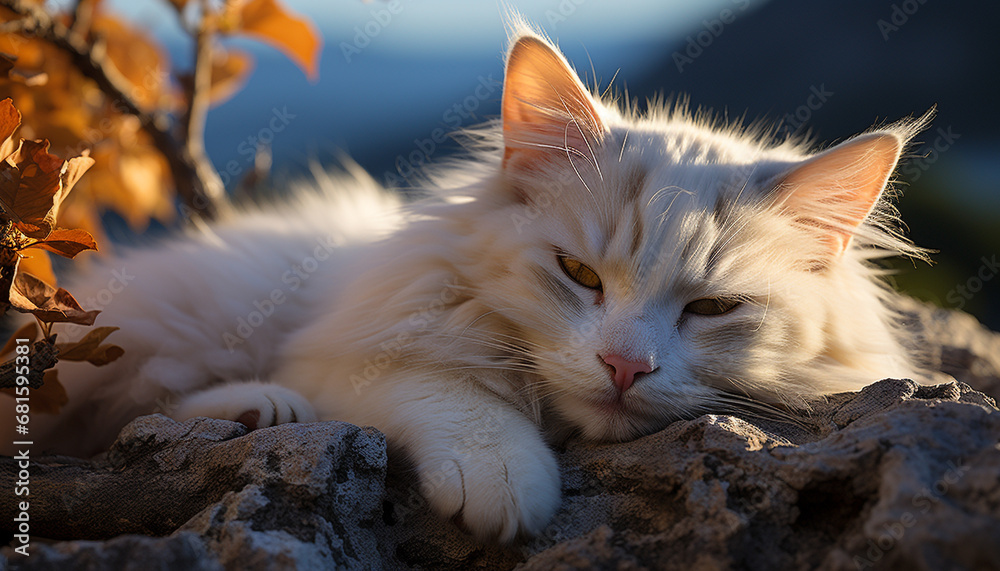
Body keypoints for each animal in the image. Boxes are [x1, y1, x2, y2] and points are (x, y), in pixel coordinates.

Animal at [3, 22, 932, 540]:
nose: (625, 368)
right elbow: (457, 396)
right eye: (578, 274)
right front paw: (506, 482)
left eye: (712, 308)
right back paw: (261, 409)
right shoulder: (355, 345)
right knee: (125, 415)